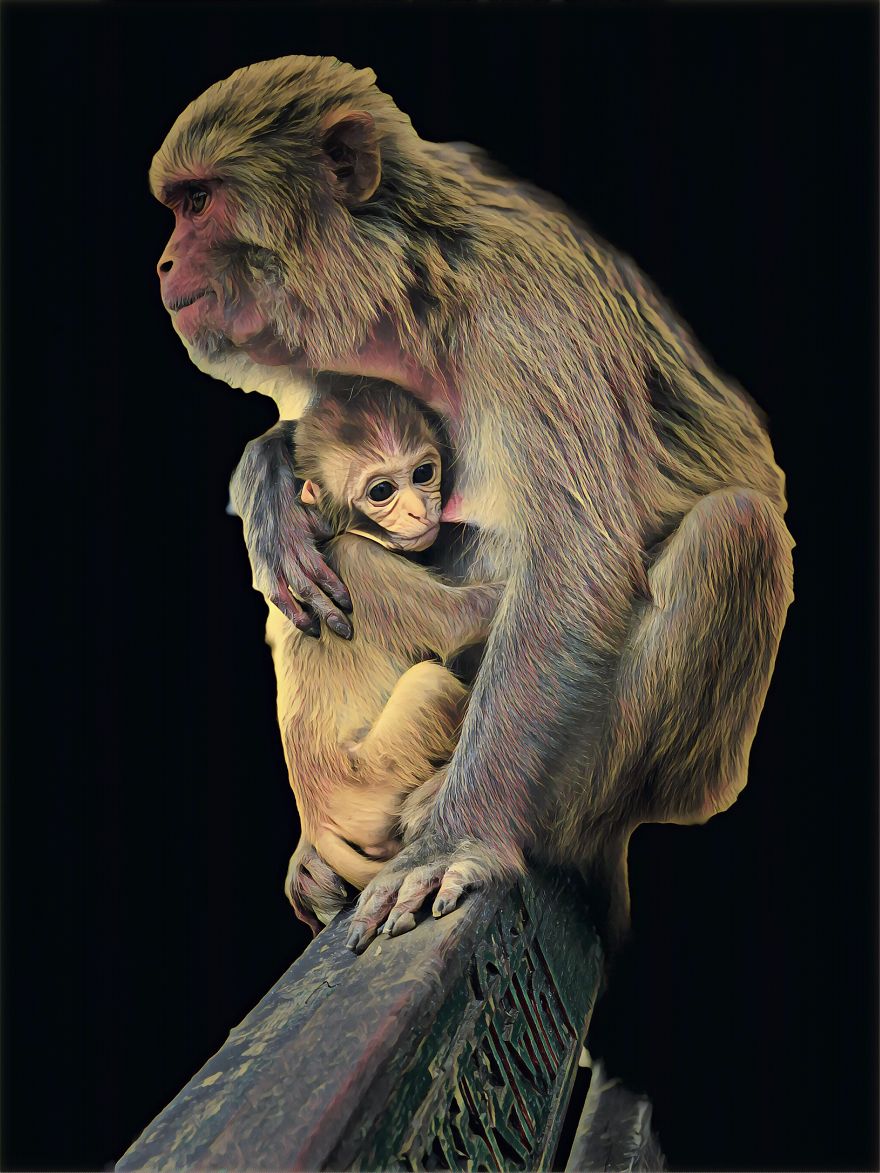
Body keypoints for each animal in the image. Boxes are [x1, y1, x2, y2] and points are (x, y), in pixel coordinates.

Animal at [273, 375, 503, 933]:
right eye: (382, 492)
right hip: (375, 776)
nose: (419, 510)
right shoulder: (361, 562)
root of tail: (317, 815)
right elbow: (461, 622)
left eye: (423, 473)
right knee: (429, 681)